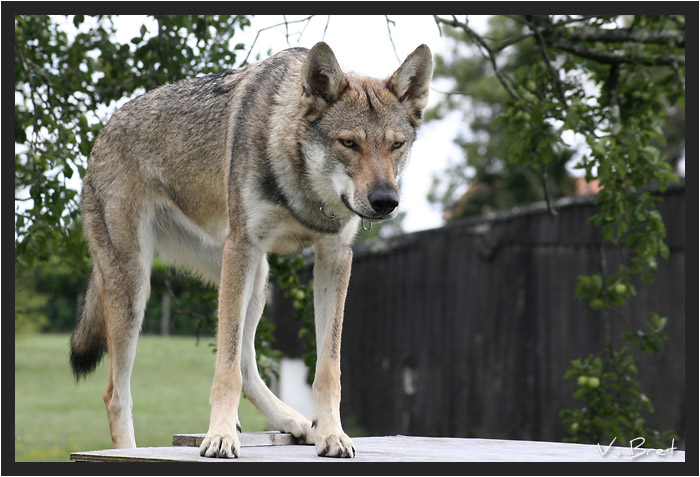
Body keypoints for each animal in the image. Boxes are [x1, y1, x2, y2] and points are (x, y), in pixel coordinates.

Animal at [70, 42, 432, 458]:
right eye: (349, 143)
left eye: (396, 145)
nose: (386, 201)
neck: (305, 195)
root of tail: (102, 132)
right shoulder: (242, 247)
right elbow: (224, 368)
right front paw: (220, 436)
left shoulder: (334, 257)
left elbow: (328, 366)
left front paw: (332, 434)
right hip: (139, 288)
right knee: (117, 393)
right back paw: (129, 451)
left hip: (256, 276)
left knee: (247, 363)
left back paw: (294, 421)